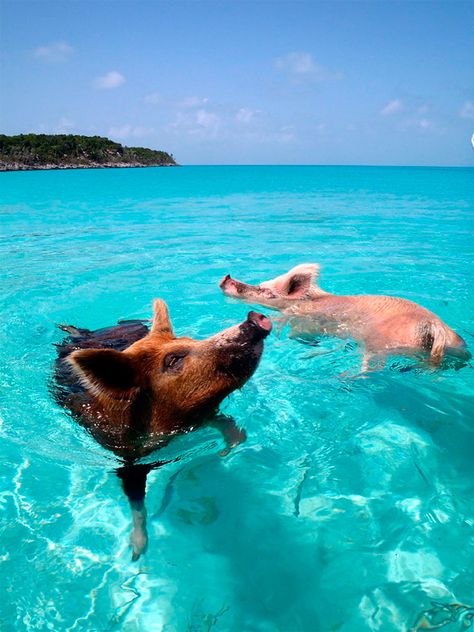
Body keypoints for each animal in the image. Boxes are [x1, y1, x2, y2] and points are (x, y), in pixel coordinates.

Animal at [52, 298, 270, 560]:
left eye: (190, 339)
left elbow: (228, 426)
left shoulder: (203, 414)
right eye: (174, 360)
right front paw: (137, 553)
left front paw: (226, 450)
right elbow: (136, 502)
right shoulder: (127, 460)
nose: (256, 318)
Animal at [219, 262, 470, 370]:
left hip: (379, 343)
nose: (225, 278)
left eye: (265, 290)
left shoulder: (305, 321)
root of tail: (435, 326)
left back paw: (345, 378)